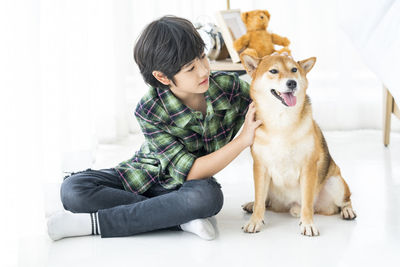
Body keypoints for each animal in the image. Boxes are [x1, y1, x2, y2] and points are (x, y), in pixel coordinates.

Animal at [241, 51, 356, 238]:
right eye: (273, 71)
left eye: (294, 70)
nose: (292, 83)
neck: (281, 122)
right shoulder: (260, 167)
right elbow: (259, 200)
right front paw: (255, 221)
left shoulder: (308, 167)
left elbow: (307, 203)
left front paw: (308, 224)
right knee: (265, 201)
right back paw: (252, 205)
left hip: (336, 183)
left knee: (345, 201)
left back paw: (347, 211)